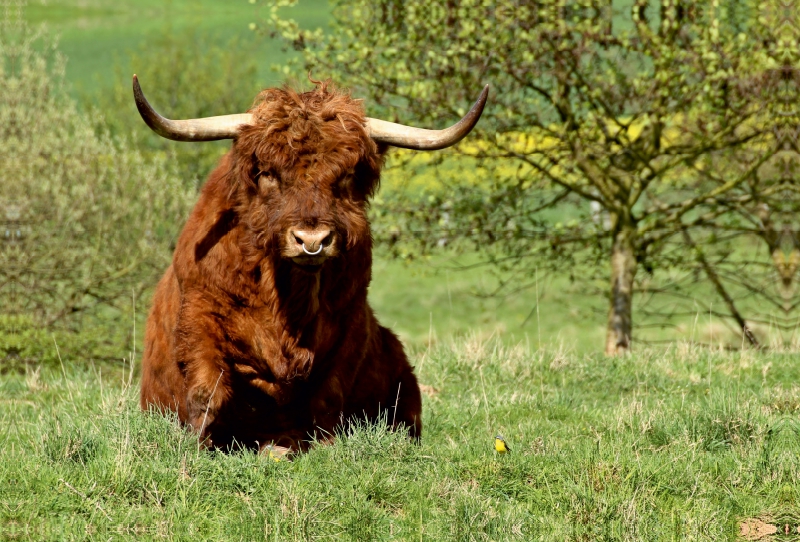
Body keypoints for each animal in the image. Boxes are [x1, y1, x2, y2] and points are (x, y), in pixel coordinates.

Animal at [137, 74, 488, 452]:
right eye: (268, 172)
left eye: (347, 175)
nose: (312, 240)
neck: (288, 300)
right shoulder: (199, 311)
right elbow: (206, 388)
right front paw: (195, 446)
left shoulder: (351, 323)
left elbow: (328, 396)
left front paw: (326, 446)